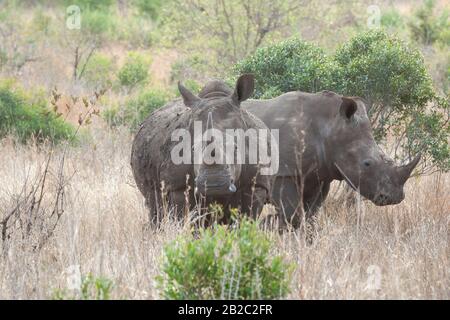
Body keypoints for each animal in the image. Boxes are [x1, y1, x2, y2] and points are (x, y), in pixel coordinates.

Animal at [130, 74, 274, 225]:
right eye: (192, 149)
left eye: (236, 148)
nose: (213, 184)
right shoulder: (178, 187)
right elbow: (188, 219)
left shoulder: (257, 184)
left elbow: (247, 218)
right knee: (155, 206)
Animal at [243, 90, 422, 228]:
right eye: (367, 163)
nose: (395, 197)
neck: (329, 126)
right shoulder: (284, 172)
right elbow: (292, 214)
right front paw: (265, 225)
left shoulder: (320, 176)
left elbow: (310, 215)